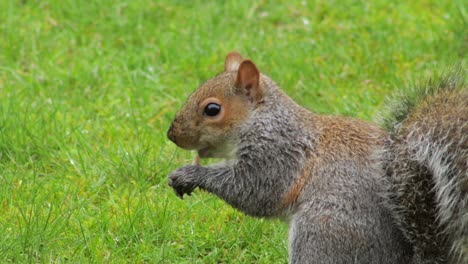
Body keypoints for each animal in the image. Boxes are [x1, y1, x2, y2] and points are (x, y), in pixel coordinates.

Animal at [166, 52, 466, 264]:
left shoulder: (279, 156)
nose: (171, 135)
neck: (263, 121)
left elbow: (254, 192)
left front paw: (189, 175)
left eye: (212, 109)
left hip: (321, 232)